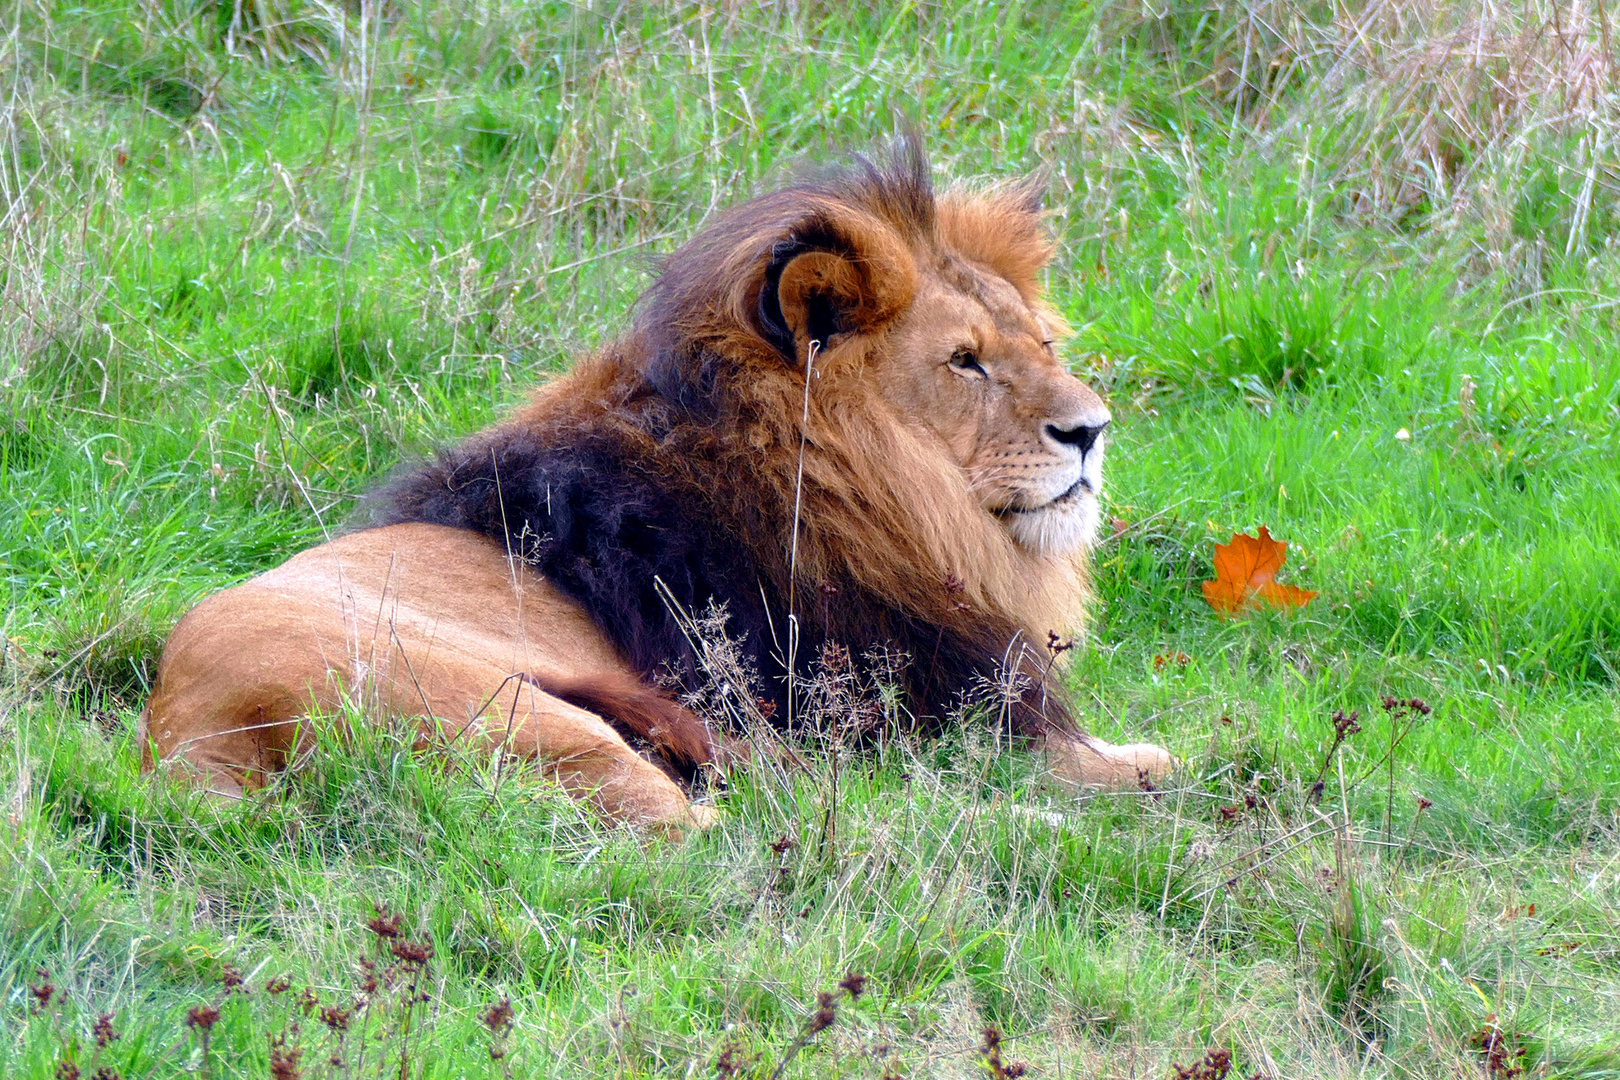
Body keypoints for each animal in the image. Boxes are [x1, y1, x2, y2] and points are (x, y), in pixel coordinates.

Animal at [139, 143, 1172, 835]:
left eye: (1042, 344)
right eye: (965, 361)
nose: (1091, 430)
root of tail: (186, 741)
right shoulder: (913, 716)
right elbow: (1102, 759)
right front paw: (1129, 773)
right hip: (501, 707)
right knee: (726, 831)